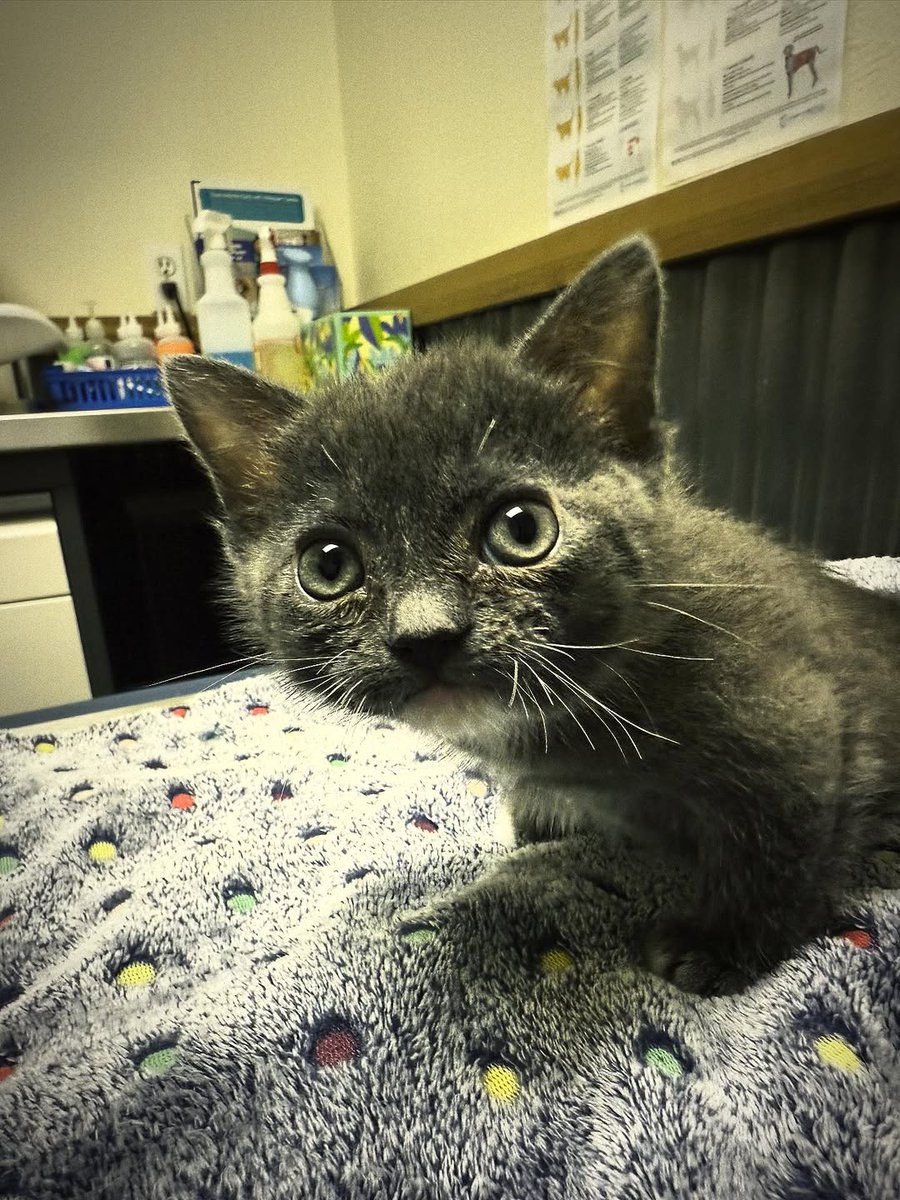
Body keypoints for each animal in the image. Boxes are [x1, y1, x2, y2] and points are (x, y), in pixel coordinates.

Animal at [163, 237, 900, 993]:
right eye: (329, 567)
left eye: (522, 529)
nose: (425, 635)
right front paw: (545, 811)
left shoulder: (799, 716)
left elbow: (784, 832)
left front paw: (723, 940)